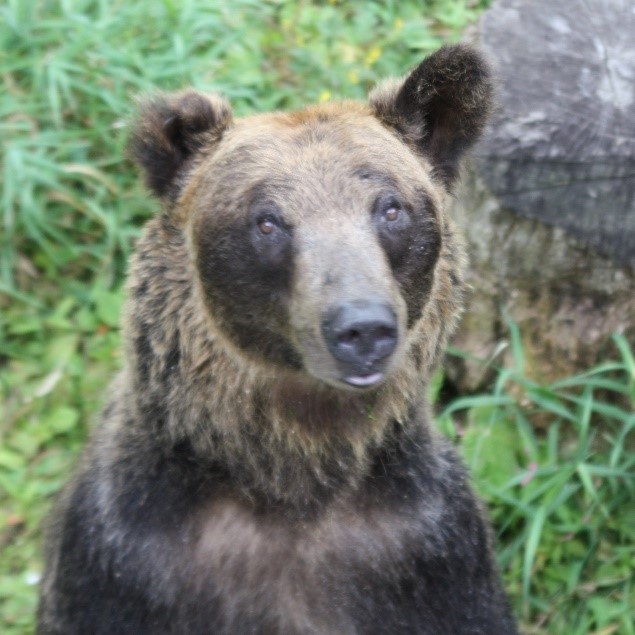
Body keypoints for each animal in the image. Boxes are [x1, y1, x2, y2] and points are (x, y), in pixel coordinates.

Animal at [37, 46, 520, 635]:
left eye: (390, 208)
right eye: (267, 221)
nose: (361, 328)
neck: (290, 471)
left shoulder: (429, 553)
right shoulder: (121, 558)